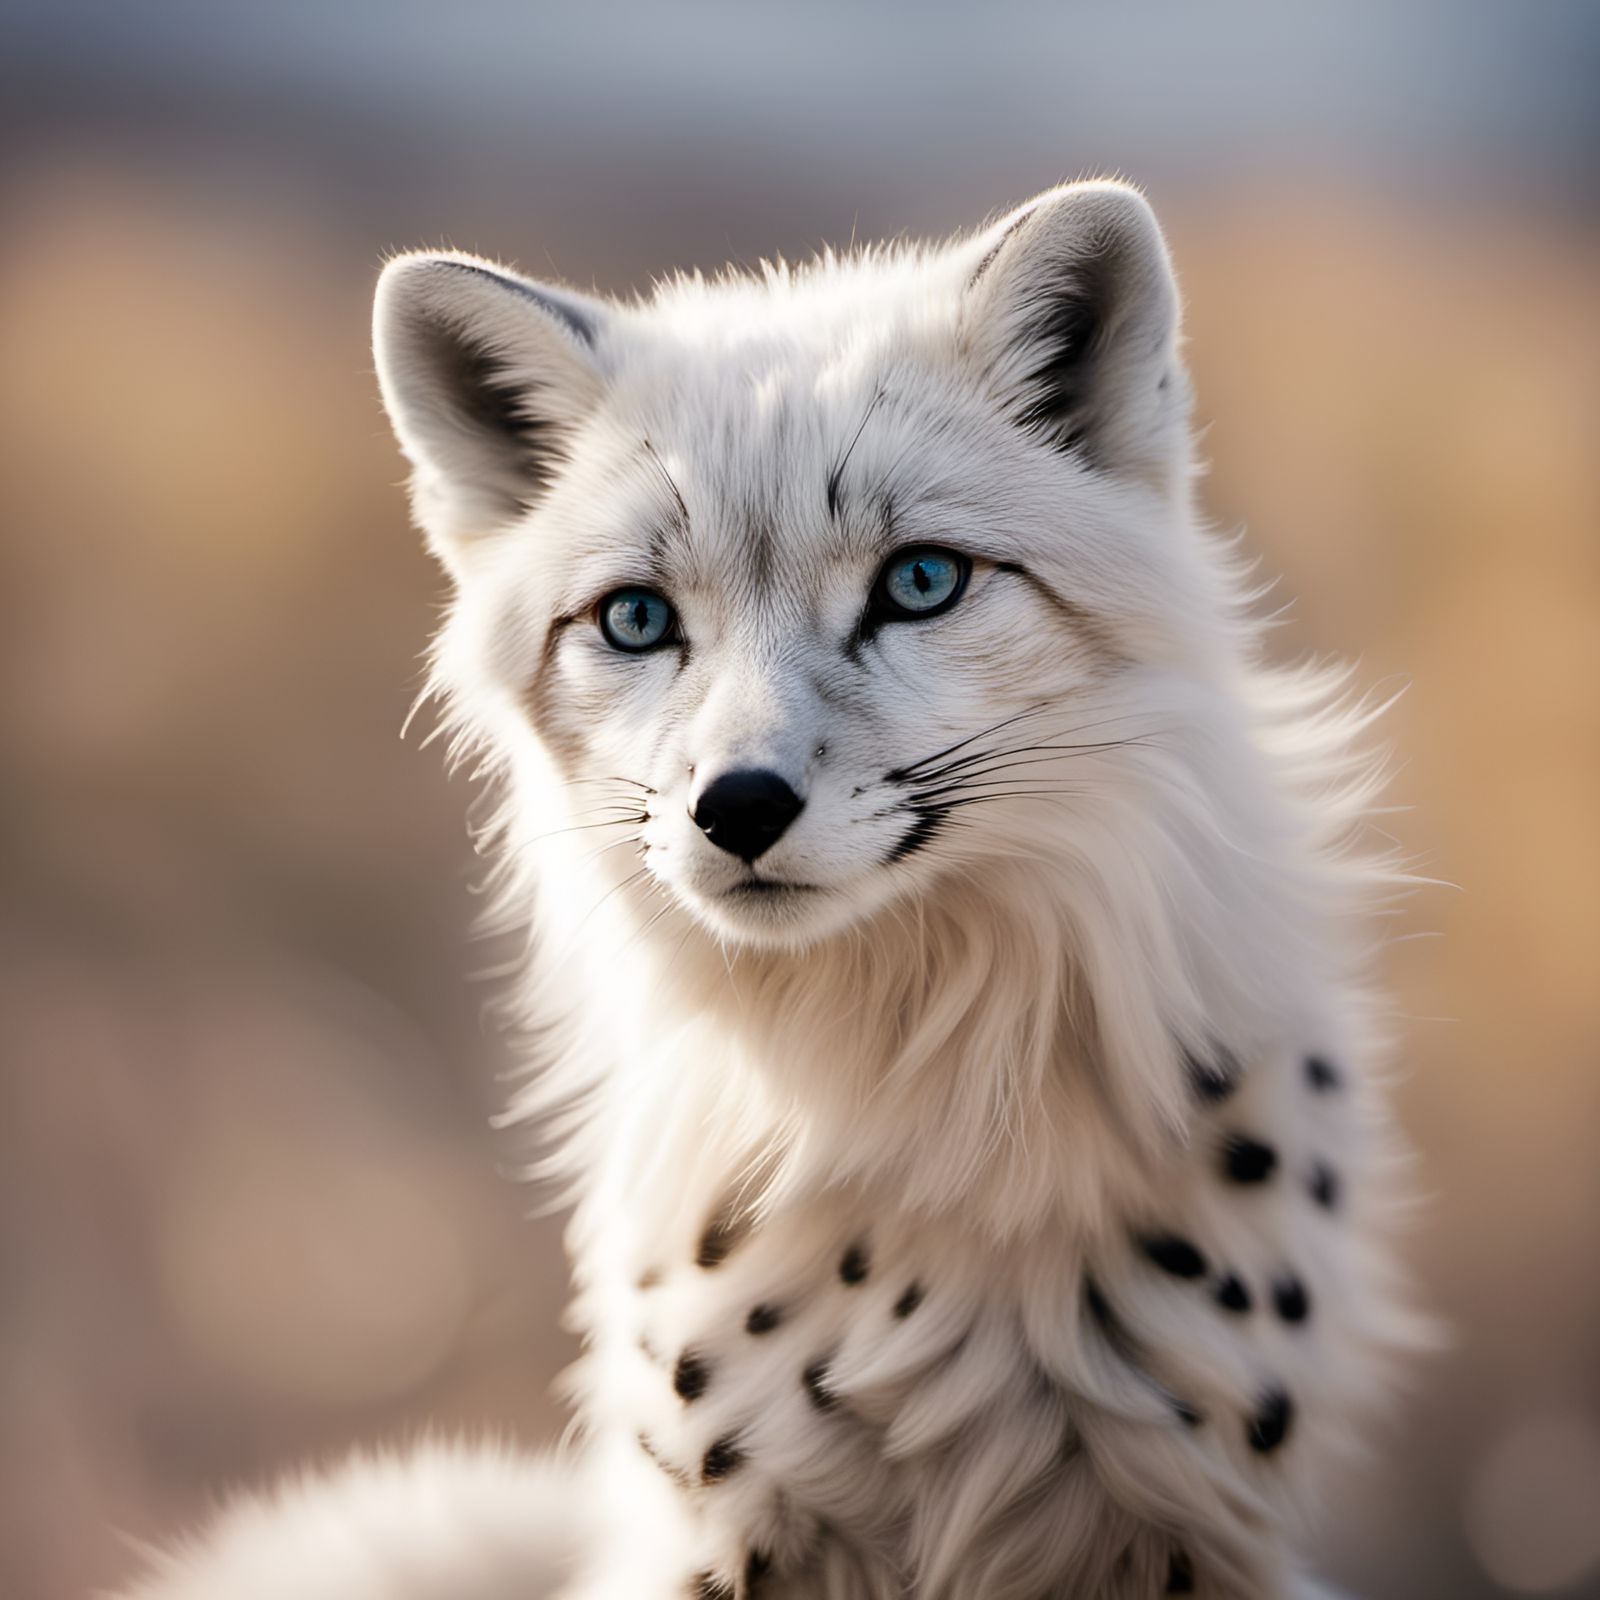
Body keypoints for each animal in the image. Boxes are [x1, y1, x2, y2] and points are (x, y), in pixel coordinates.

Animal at [122, 180, 1423, 1599]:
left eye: (920, 582)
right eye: (636, 620)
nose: (735, 809)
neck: (919, 1106)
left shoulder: (1185, 1517)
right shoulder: (729, 1520)